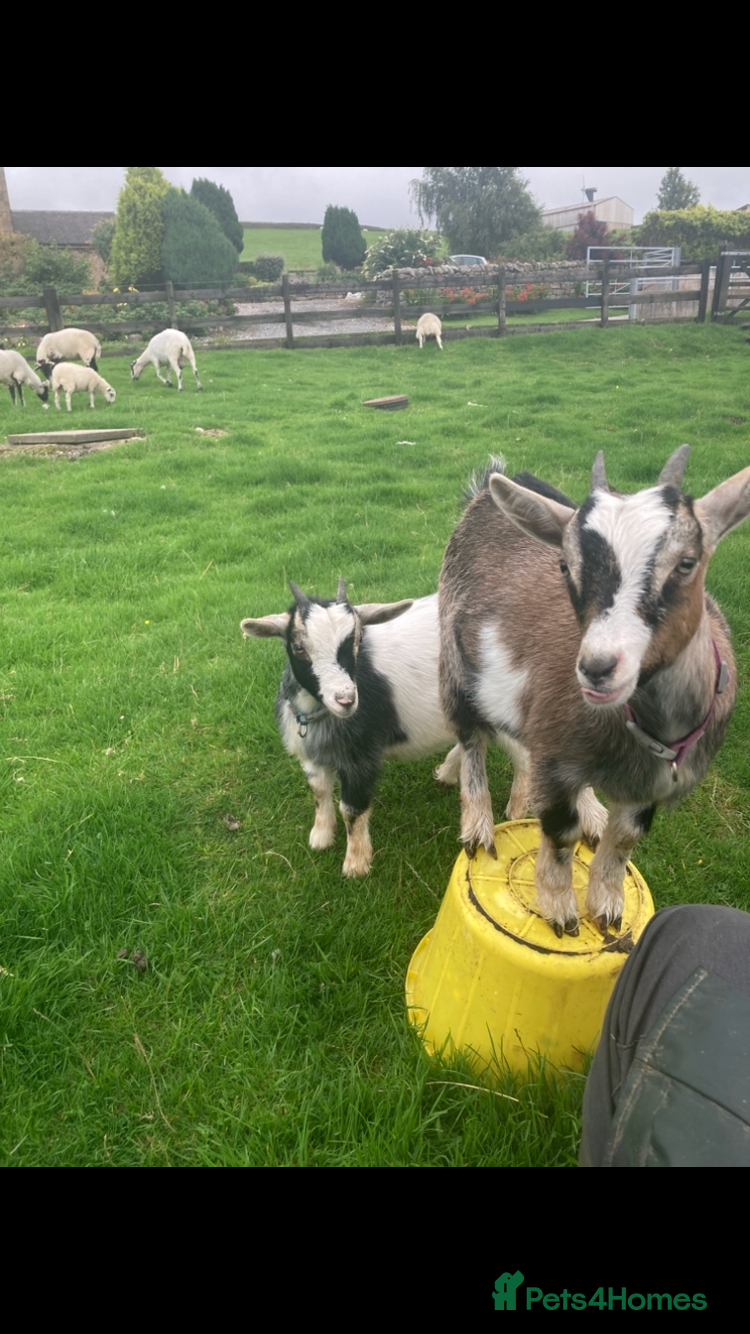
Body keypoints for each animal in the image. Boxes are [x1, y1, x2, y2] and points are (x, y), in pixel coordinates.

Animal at [241, 579, 461, 877]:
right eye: (298, 647)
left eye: (358, 640)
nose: (345, 700)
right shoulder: (312, 755)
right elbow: (319, 791)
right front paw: (321, 837)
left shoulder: (361, 757)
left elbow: (352, 809)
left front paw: (357, 863)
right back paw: (449, 772)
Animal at [439, 447, 750, 937]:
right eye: (565, 566)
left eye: (687, 562)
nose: (597, 667)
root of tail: (487, 494)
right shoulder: (557, 763)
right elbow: (559, 833)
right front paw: (561, 909)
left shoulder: (646, 786)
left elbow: (626, 838)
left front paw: (608, 907)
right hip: (455, 663)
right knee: (471, 736)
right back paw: (478, 825)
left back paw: (590, 812)